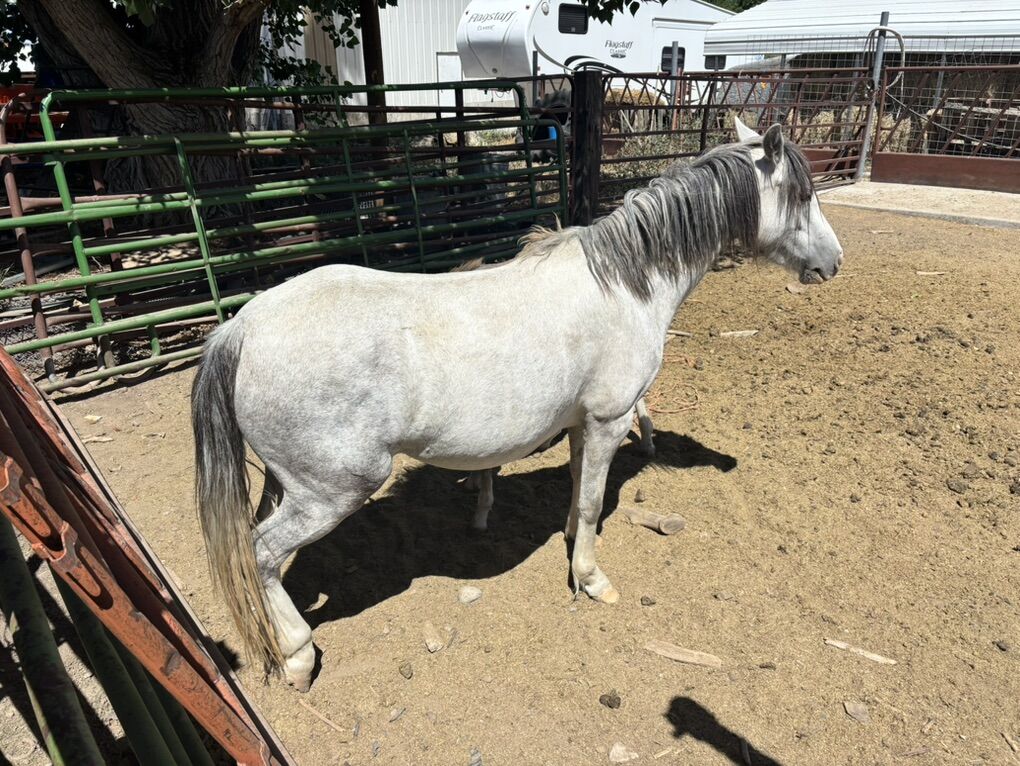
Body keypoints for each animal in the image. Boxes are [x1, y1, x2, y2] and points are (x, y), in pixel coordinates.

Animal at [192, 118, 843, 691]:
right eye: (801, 194)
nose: (833, 261)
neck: (625, 285)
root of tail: (242, 328)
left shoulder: (582, 424)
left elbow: (579, 489)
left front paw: (571, 542)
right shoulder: (610, 421)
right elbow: (593, 503)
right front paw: (591, 580)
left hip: (285, 483)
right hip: (332, 491)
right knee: (261, 555)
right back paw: (298, 656)